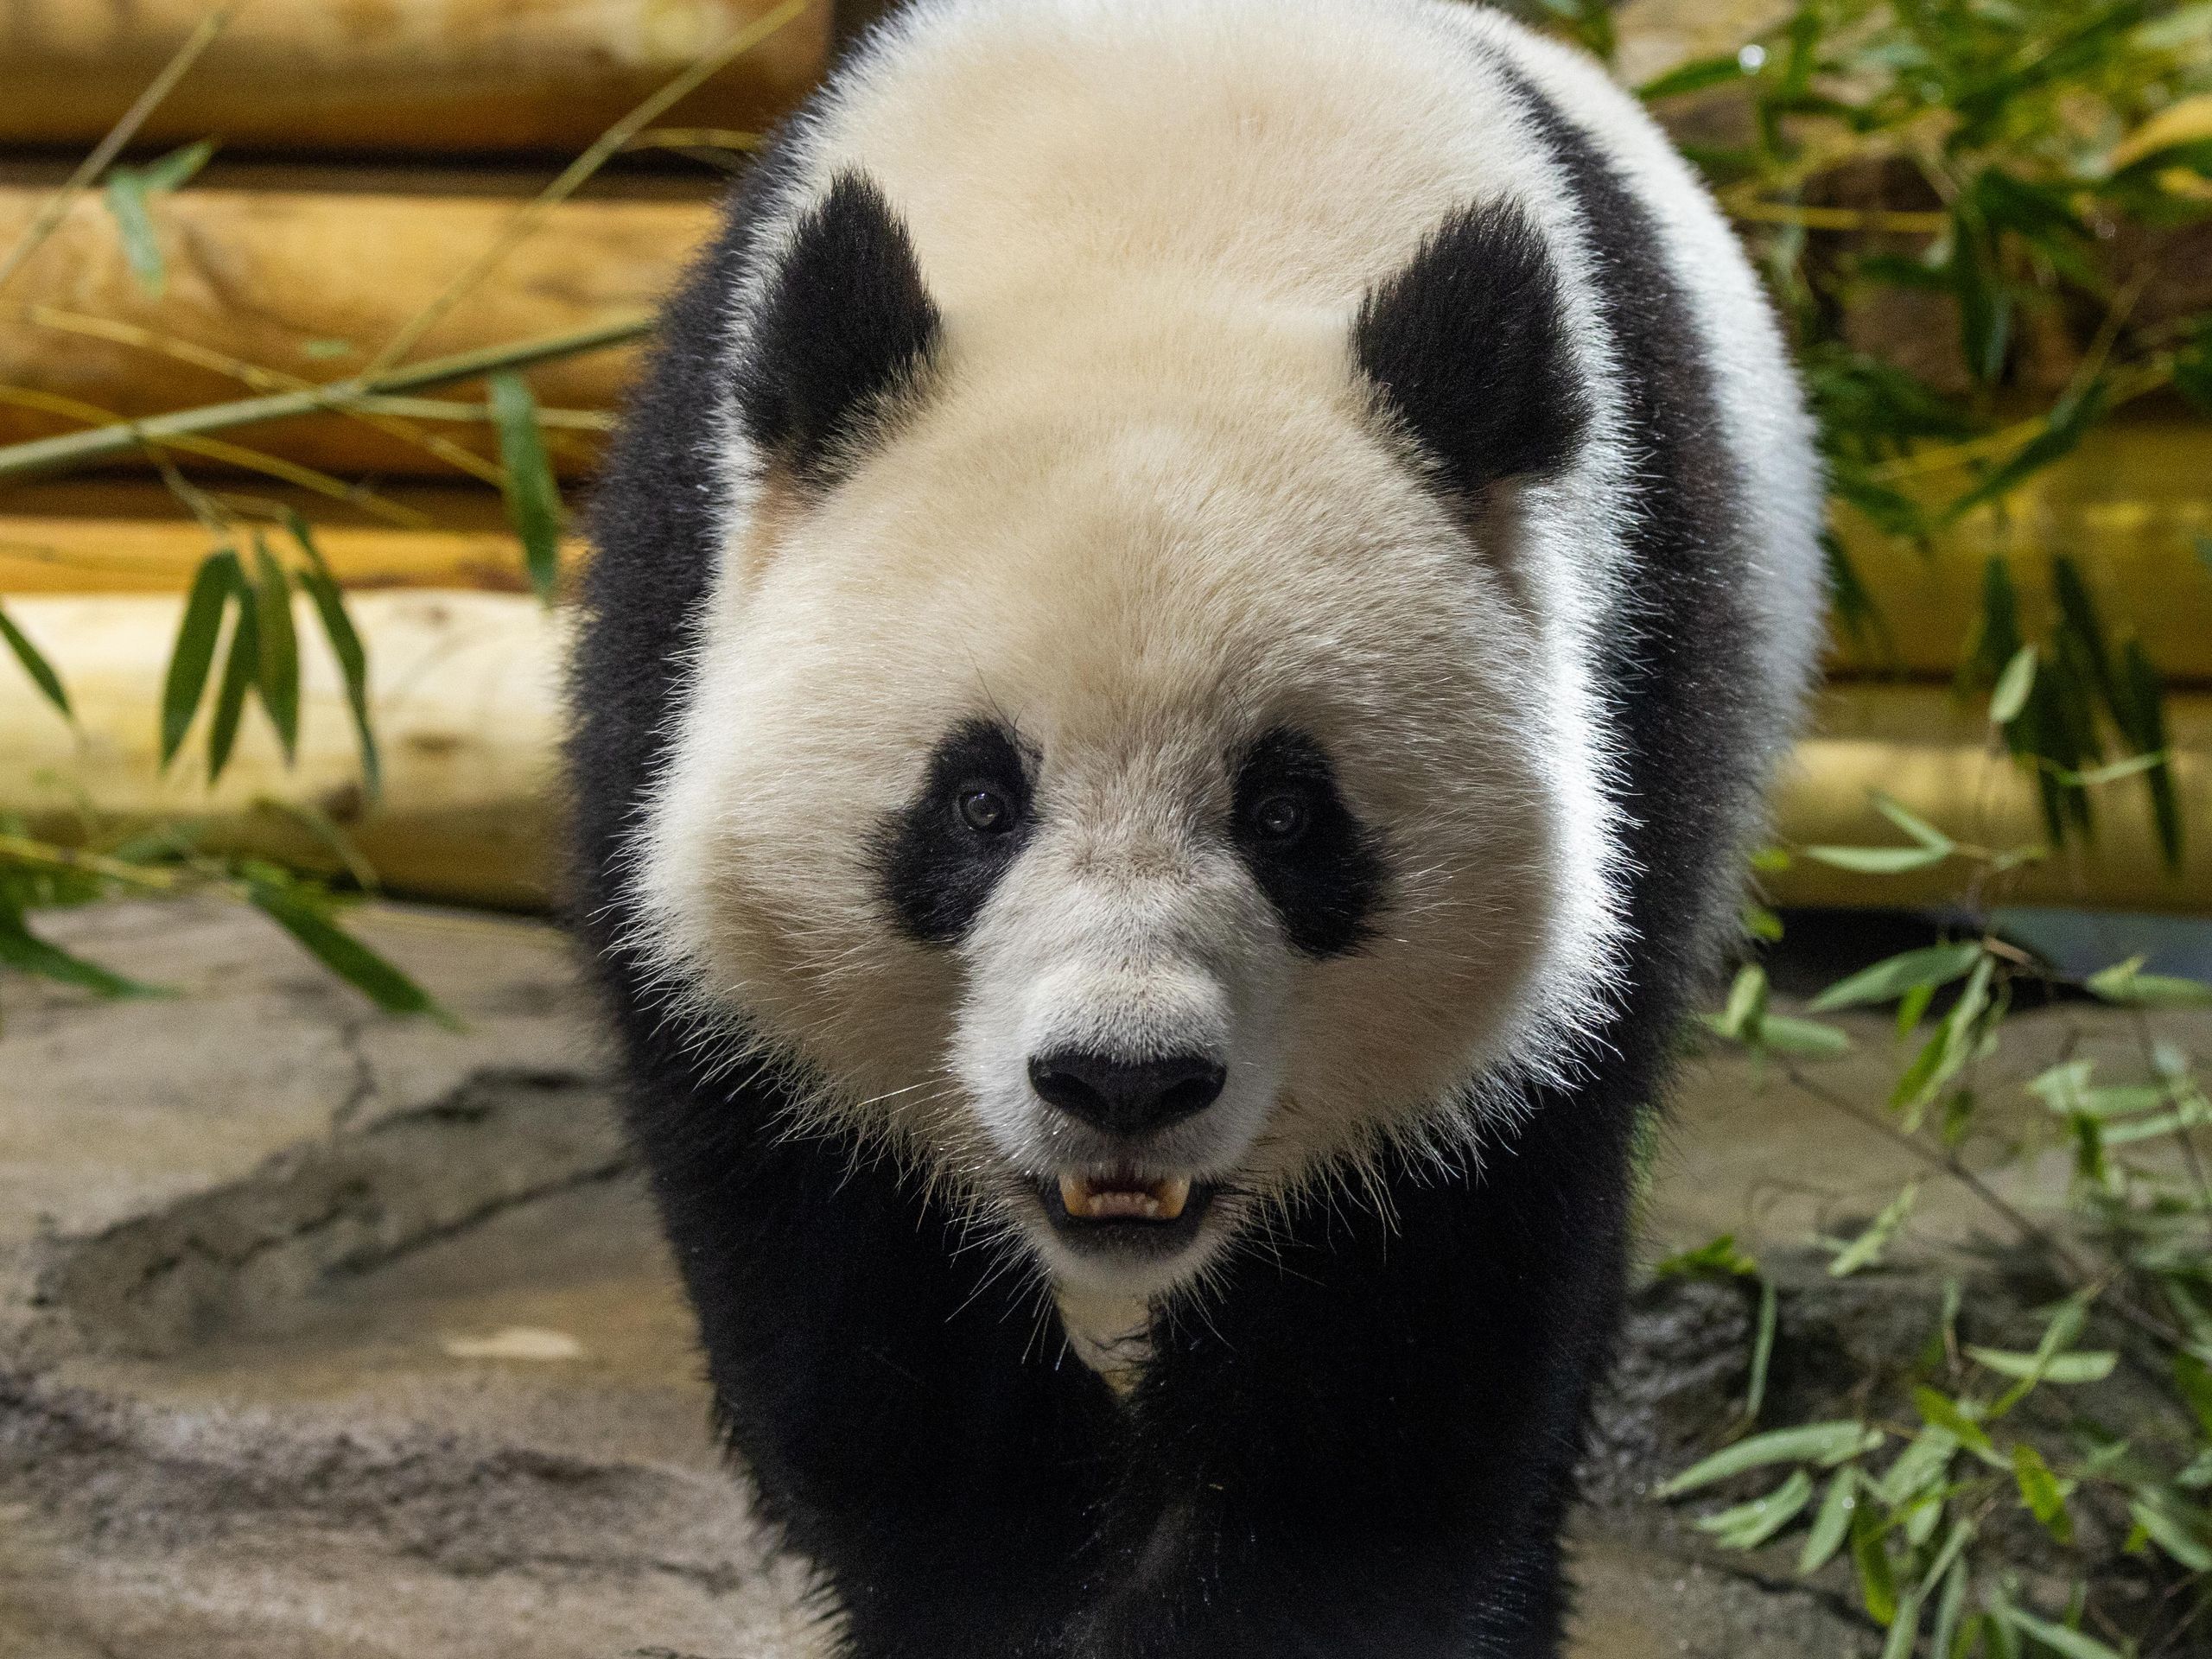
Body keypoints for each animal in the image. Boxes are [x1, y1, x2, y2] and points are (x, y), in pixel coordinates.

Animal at [568, 0, 1824, 1653]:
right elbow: (847, 1287)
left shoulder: (1627, 701)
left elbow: (1398, 1354)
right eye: (978, 802)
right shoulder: (677, 634)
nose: (1124, 1080)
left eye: (1290, 814)